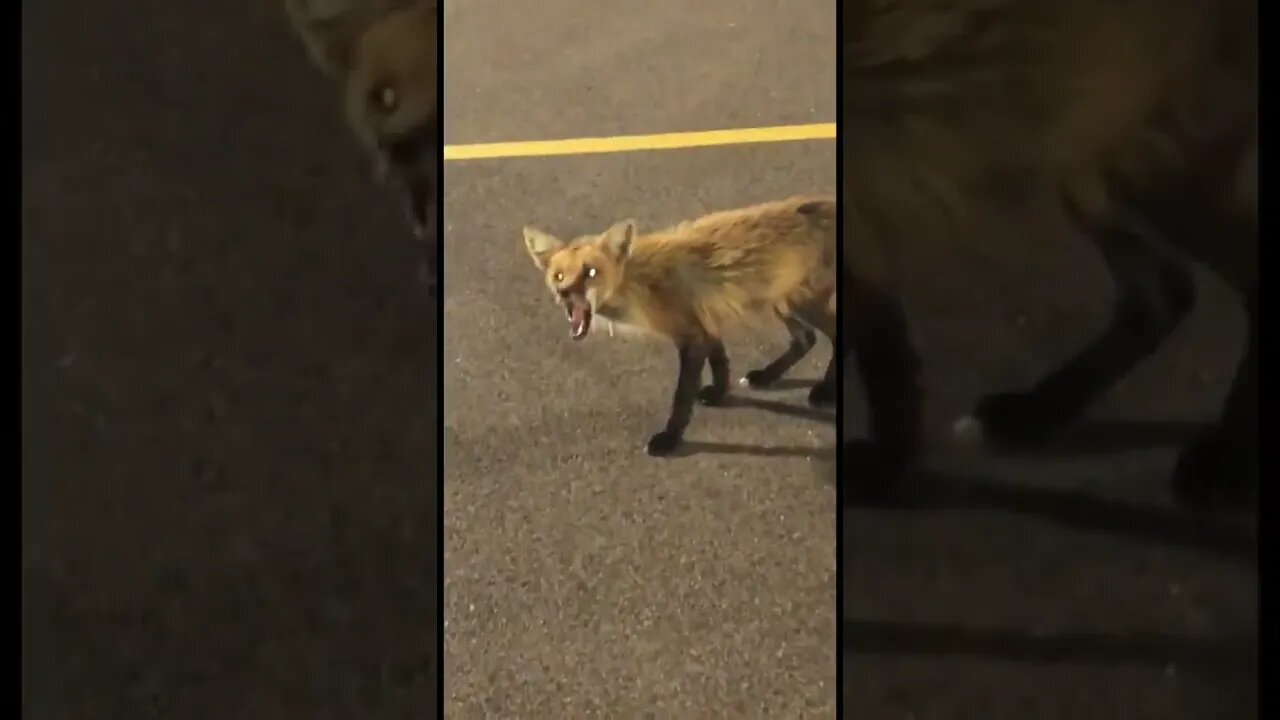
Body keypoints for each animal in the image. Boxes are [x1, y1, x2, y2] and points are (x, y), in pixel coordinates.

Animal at [522, 196, 838, 456]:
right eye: (558, 275)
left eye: (590, 273)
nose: (564, 292)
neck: (643, 288)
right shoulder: (705, 321)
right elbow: (720, 363)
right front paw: (719, 393)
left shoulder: (693, 333)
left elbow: (682, 395)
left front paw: (670, 438)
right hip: (781, 300)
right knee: (805, 339)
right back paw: (767, 376)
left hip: (803, 303)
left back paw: (825, 391)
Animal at [841, 0, 1257, 509]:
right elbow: (887, 357)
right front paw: (893, 458)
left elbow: (883, 363)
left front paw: (887, 465)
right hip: (1081, 144)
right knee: (1166, 294)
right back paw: (1042, 409)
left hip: (1150, 164)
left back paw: (1230, 456)